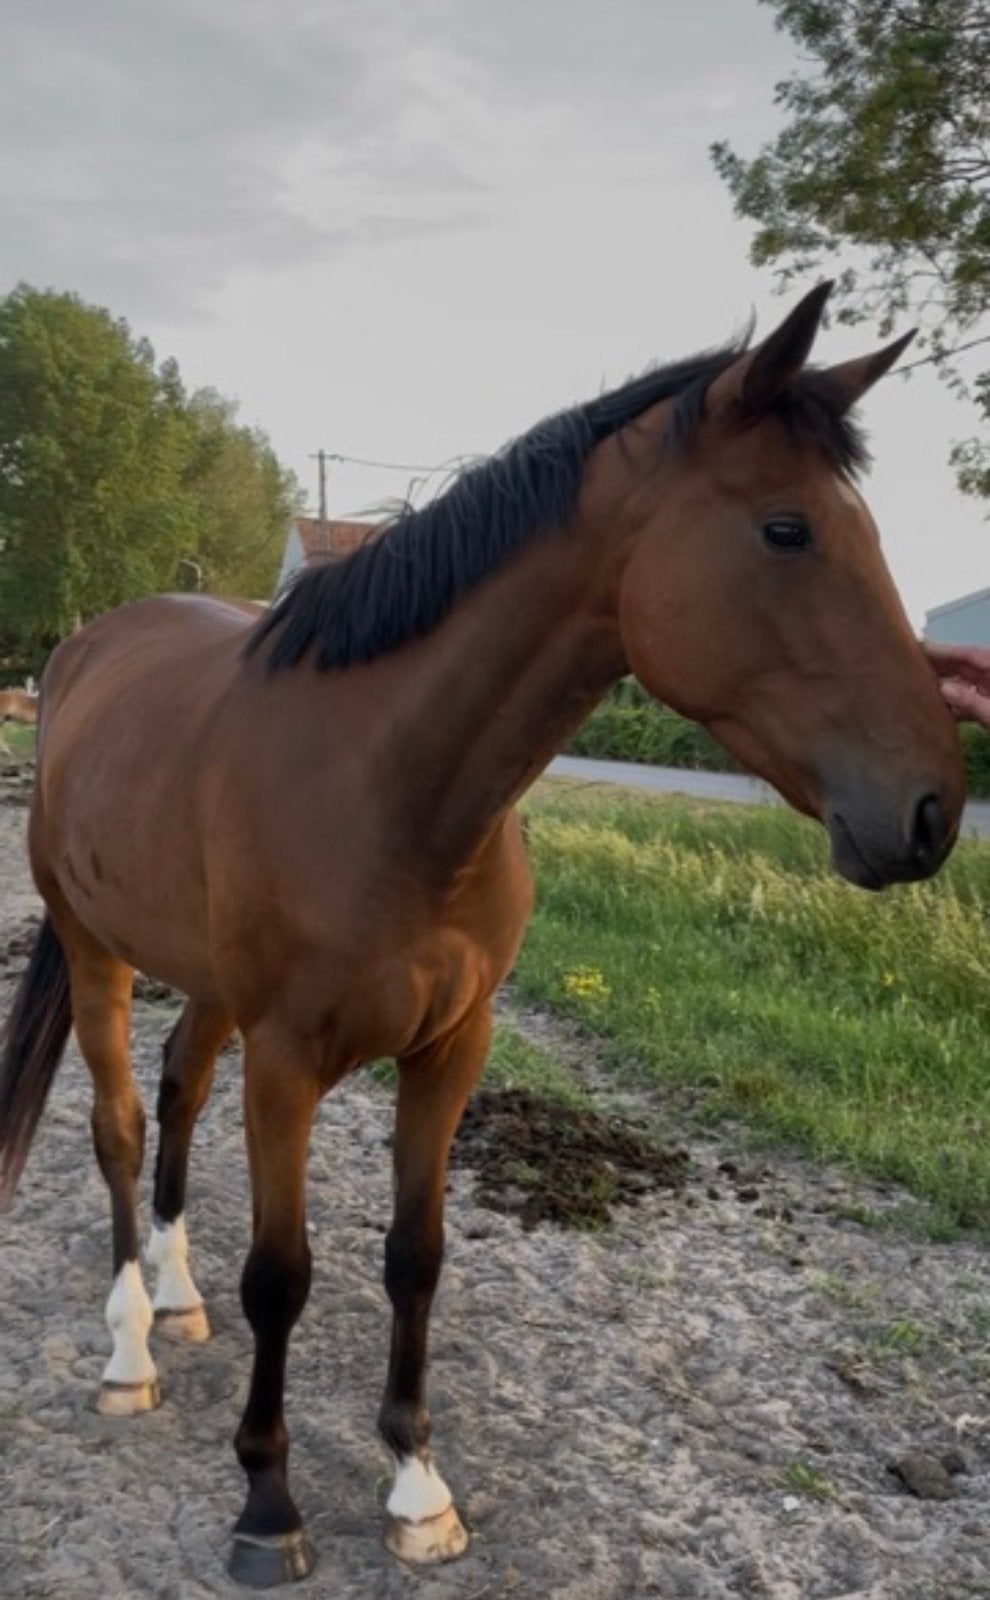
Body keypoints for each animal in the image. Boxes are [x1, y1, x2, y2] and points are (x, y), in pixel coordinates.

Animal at [0, 284, 964, 1588]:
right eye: (786, 530)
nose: (931, 810)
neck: (388, 787)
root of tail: (85, 648)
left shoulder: (452, 1046)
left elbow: (418, 1253)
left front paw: (416, 1484)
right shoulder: (290, 1061)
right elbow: (284, 1273)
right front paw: (268, 1502)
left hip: (205, 983)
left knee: (181, 1085)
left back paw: (177, 1292)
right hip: (96, 948)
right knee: (119, 1123)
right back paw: (130, 1348)